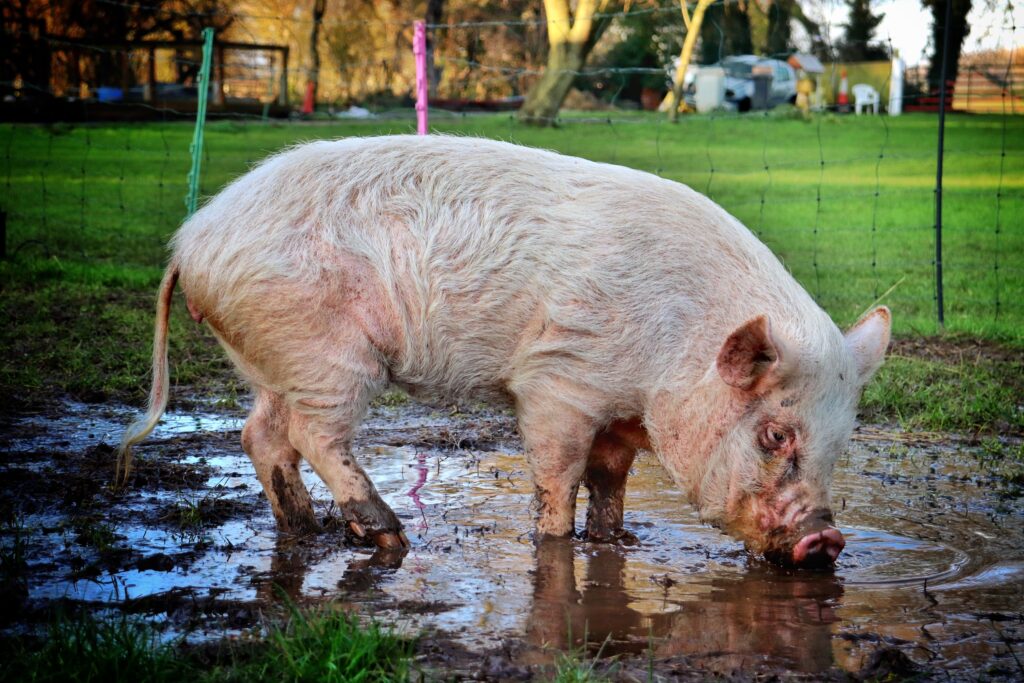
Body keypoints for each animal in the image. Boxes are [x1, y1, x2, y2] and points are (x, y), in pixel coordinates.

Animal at [119, 135, 890, 567]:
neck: (673, 349)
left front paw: (617, 544)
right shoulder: (558, 382)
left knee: (261, 434)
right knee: (315, 434)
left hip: (272, 358)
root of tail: (191, 241)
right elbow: (558, 476)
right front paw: (555, 543)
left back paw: (306, 529)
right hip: (325, 353)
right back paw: (390, 538)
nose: (825, 538)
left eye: (841, 440)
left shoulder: (618, 415)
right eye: (774, 433)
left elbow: (610, 481)